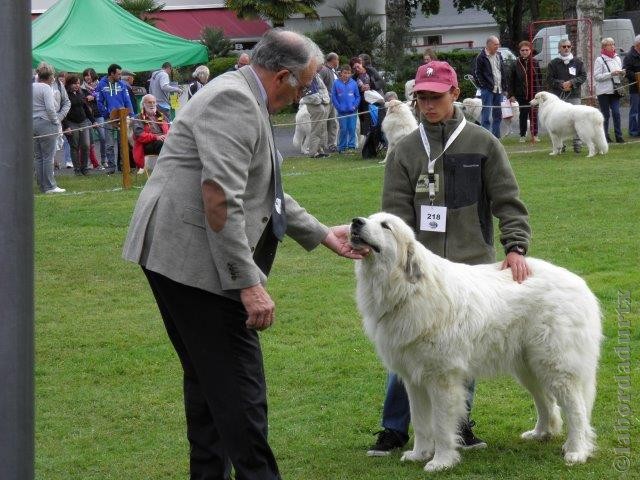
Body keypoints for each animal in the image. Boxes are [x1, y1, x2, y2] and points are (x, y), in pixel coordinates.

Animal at [352, 214, 604, 472]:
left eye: (385, 226)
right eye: (370, 218)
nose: (356, 222)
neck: (408, 289)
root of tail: (579, 283)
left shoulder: (442, 378)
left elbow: (441, 426)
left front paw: (441, 461)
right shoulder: (415, 379)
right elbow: (421, 422)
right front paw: (419, 454)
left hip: (556, 366)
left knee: (576, 409)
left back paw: (577, 450)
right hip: (529, 367)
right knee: (547, 401)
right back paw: (541, 433)